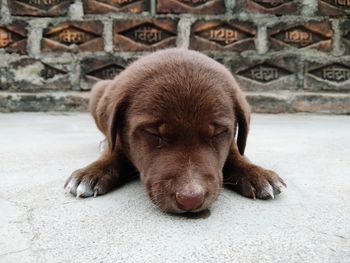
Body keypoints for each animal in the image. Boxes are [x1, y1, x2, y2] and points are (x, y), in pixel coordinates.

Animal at [64, 48, 286, 214]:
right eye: (153, 133)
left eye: (218, 133)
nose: (190, 199)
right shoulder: (120, 137)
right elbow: (114, 151)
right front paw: (91, 173)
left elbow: (236, 153)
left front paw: (257, 174)